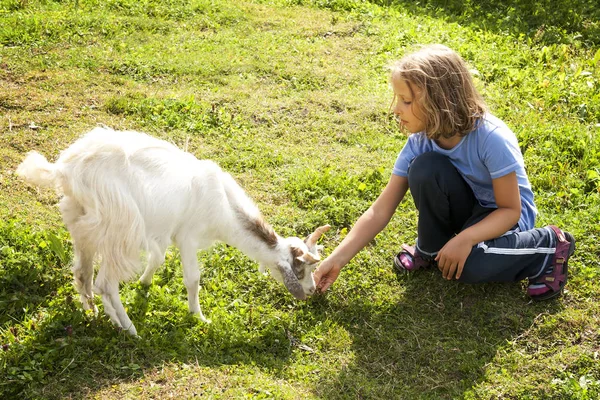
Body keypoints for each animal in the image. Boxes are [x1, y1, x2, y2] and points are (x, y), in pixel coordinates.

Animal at [17, 127, 328, 334]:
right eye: (301, 268)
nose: (312, 291)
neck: (224, 207)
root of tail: (65, 170)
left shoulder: (164, 231)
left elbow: (157, 259)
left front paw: (144, 283)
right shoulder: (187, 237)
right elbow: (192, 279)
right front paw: (198, 316)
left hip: (82, 223)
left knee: (83, 273)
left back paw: (92, 314)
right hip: (122, 229)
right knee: (105, 283)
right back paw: (127, 328)